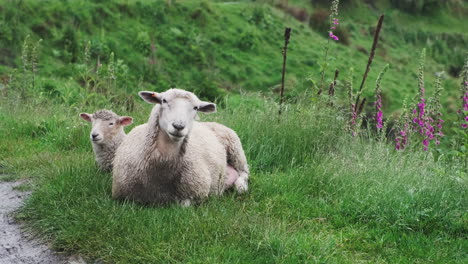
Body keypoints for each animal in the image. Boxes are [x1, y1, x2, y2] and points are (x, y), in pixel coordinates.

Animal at [111, 88, 249, 206]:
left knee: (244, 172)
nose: (178, 126)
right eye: (164, 101)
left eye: (196, 107)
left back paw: (241, 186)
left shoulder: (197, 193)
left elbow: (183, 205)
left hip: (236, 150)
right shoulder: (123, 196)